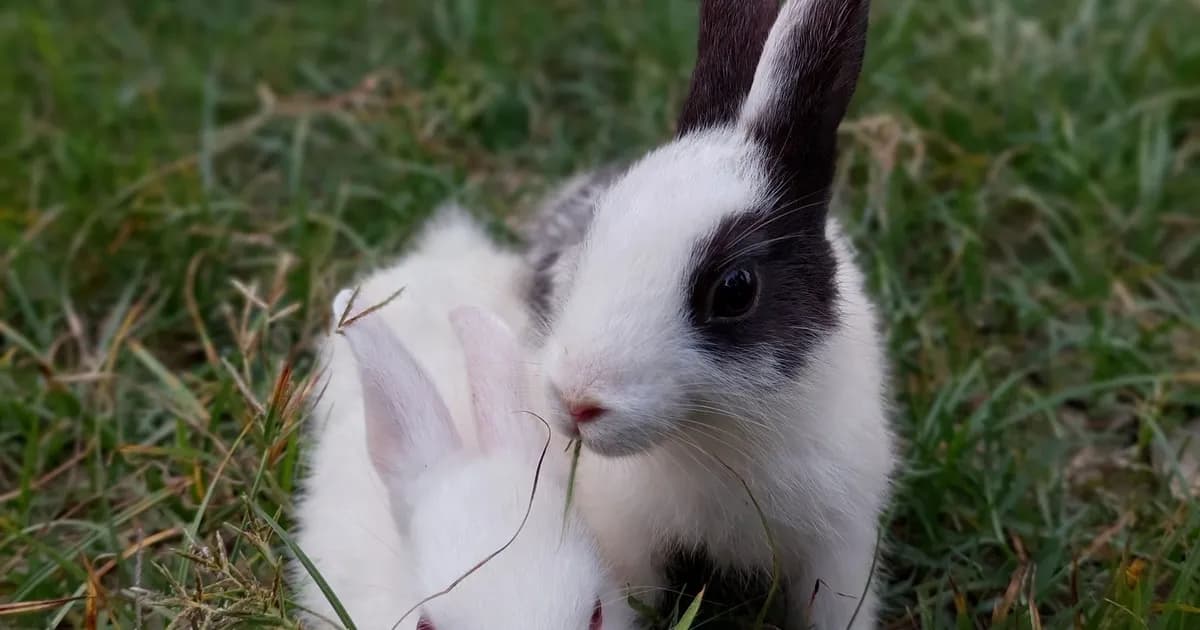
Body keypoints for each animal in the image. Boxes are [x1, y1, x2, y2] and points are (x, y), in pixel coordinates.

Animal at [525, 1, 896, 628]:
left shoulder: (841, 544)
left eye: (735, 290)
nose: (575, 402)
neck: (716, 431)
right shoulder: (626, 533)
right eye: (598, 227)